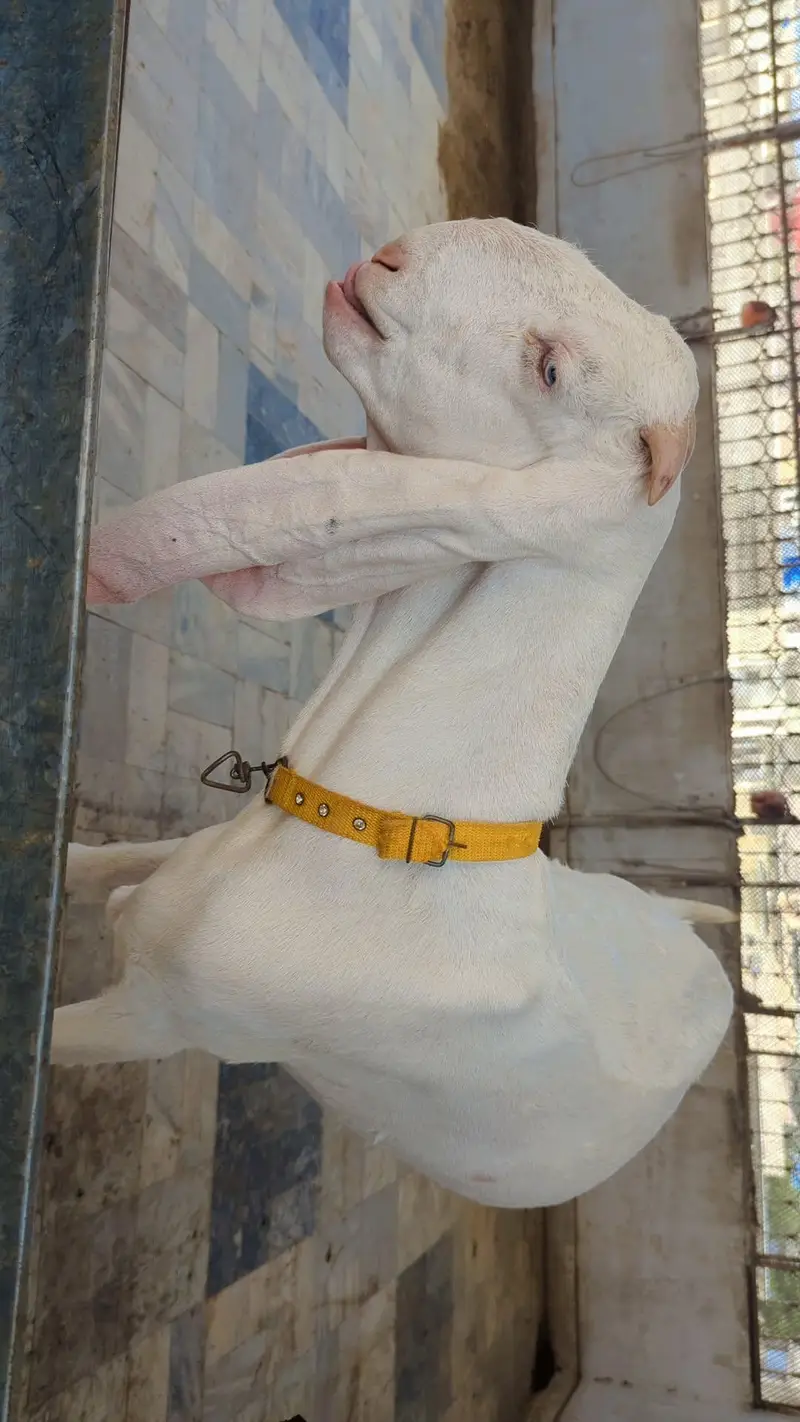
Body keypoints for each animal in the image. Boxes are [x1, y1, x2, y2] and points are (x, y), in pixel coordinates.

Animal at [59, 218, 733, 1209]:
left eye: (551, 372)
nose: (388, 259)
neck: (376, 835)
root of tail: (694, 942)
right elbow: (98, 860)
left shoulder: (158, 1016)